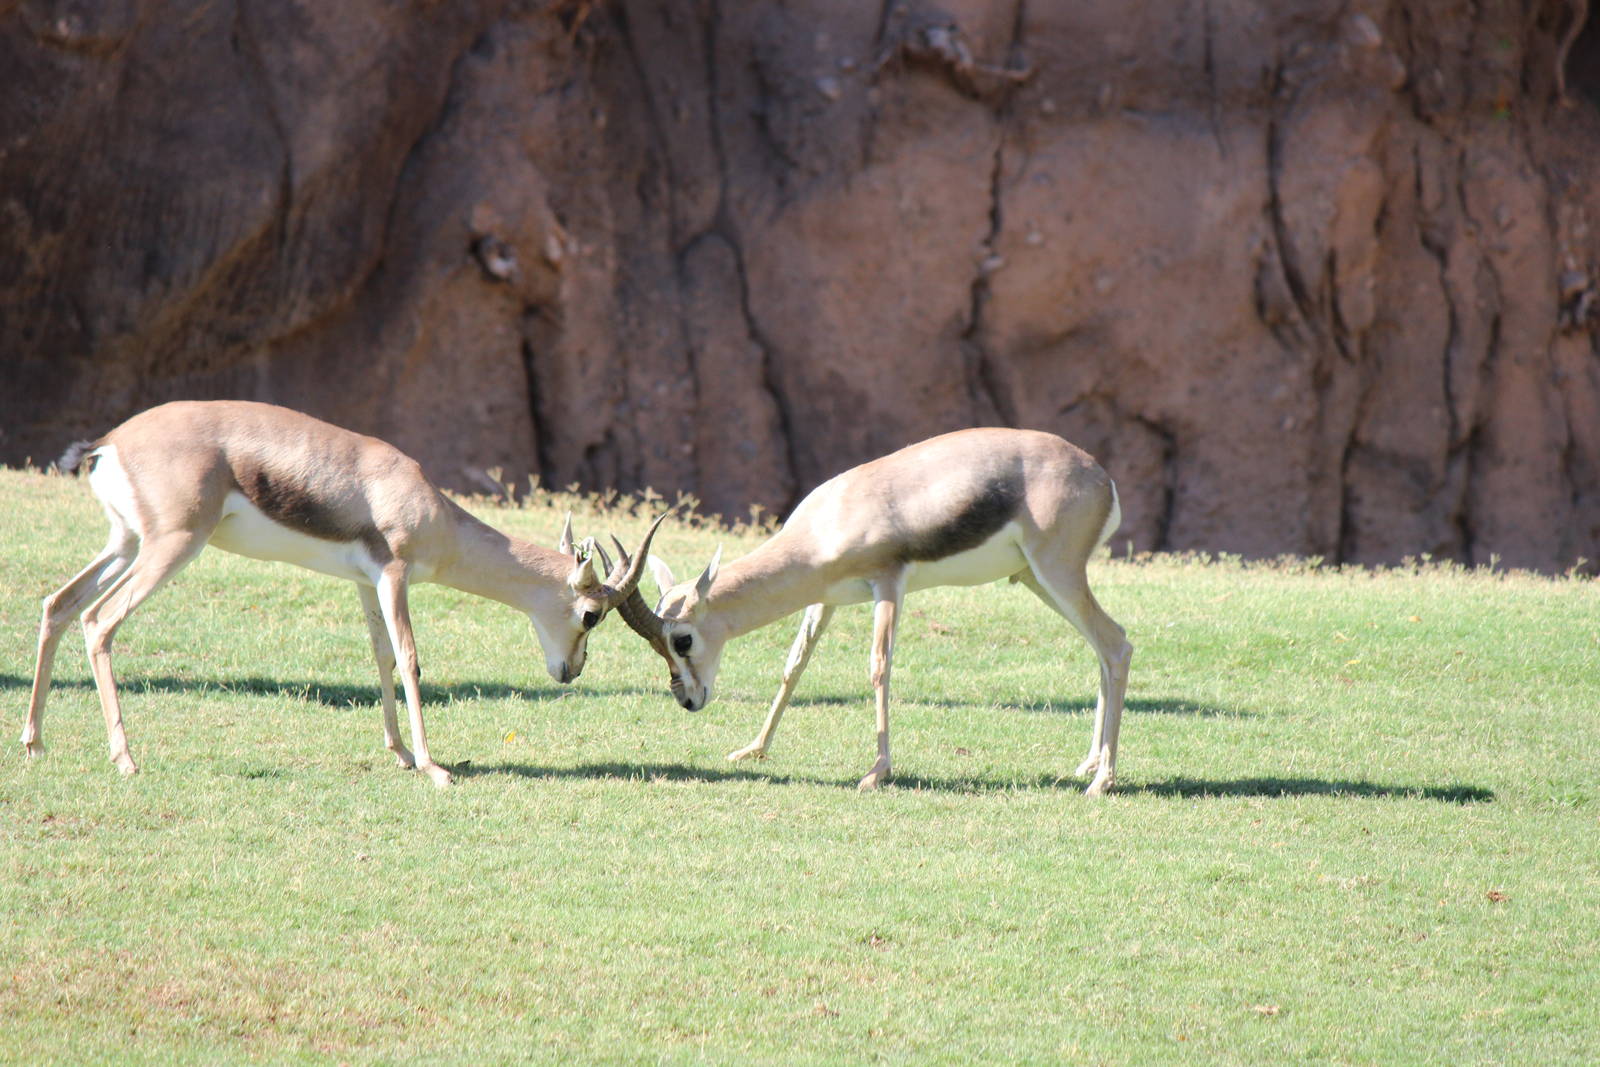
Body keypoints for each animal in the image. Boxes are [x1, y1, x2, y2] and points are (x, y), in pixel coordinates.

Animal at [22, 400, 667, 786]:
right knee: (100, 620)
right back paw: (126, 760)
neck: (425, 503)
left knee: (60, 605)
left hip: (125, 542)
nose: (571, 671)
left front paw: (400, 754)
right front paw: (434, 768)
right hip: (171, 546)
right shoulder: (395, 574)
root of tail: (109, 444)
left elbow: (379, 656)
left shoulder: (366, 582)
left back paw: (34, 743)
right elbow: (409, 657)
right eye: (592, 614)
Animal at [613, 428, 1133, 795]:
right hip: (1036, 579)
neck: (829, 520)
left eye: (682, 639)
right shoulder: (825, 598)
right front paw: (754, 749)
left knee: (1116, 645)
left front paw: (876, 772)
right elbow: (794, 665)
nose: (687, 699)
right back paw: (1089, 764)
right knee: (1102, 650)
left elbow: (879, 667)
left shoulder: (888, 584)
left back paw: (1101, 781)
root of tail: (1101, 476)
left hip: (1057, 572)